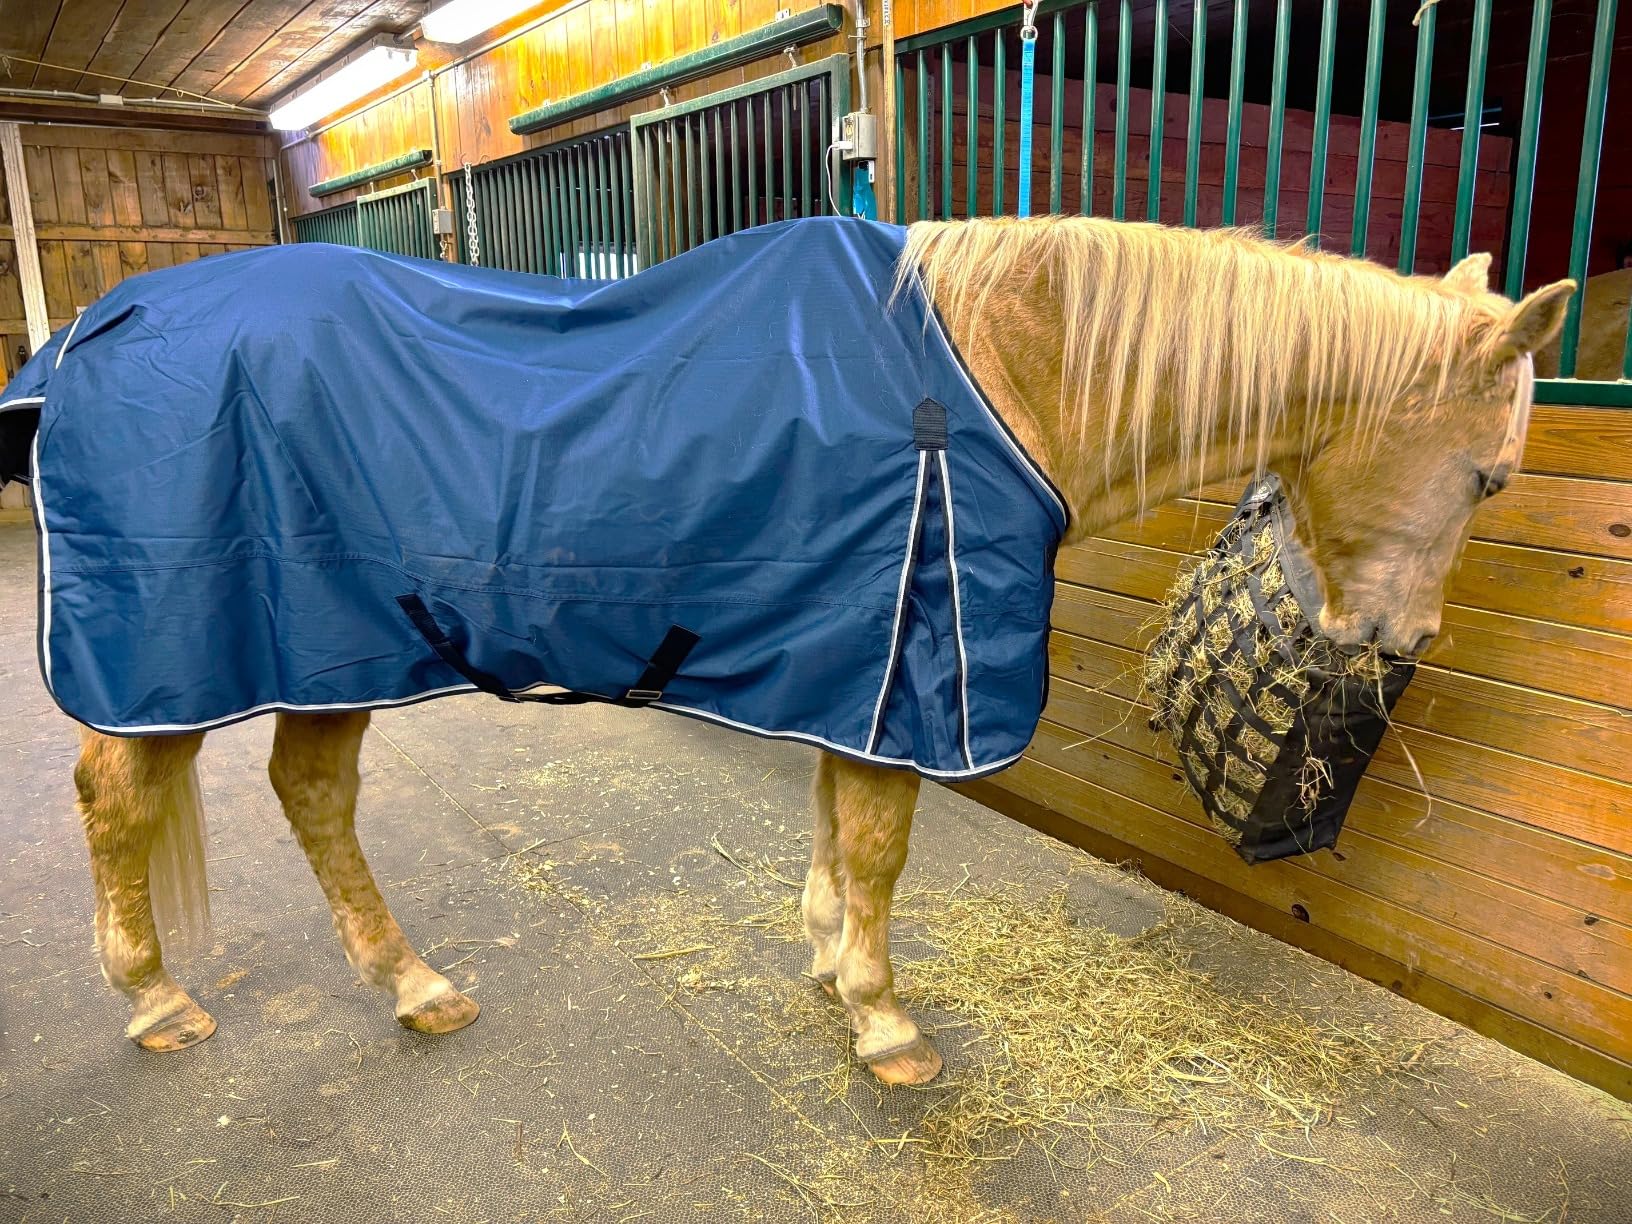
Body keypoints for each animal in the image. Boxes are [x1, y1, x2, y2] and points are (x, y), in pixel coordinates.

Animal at [46, 215, 1573, 1087]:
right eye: (1491, 476)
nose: (1394, 642)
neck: (991, 372)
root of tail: (101, 325)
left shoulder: (862, 663)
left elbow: (843, 829)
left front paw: (833, 963)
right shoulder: (910, 663)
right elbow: (883, 844)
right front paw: (886, 1023)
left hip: (331, 654)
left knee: (309, 798)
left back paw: (415, 988)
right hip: (197, 651)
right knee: (120, 801)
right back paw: (158, 1003)